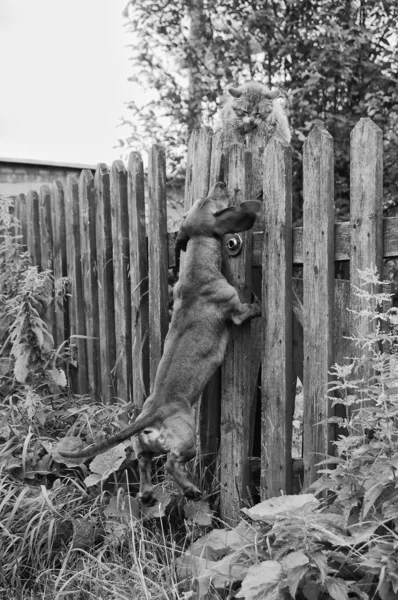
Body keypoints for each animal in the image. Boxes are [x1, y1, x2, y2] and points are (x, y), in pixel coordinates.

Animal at [59, 180, 262, 504]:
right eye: (212, 200)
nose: (219, 182)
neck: (196, 271)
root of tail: (153, 413)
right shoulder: (236, 310)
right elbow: (247, 310)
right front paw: (259, 306)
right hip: (187, 440)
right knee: (170, 464)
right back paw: (190, 490)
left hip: (144, 447)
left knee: (143, 463)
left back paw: (146, 495)